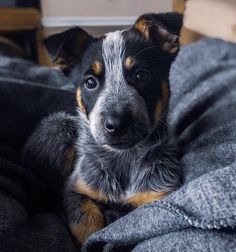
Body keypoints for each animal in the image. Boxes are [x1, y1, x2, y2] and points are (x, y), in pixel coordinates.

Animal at [23, 12, 183, 247]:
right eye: (90, 82)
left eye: (141, 75)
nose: (116, 124)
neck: (123, 160)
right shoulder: (75, 188)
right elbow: (86, 224)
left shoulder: (158, 196)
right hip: (61, 128)